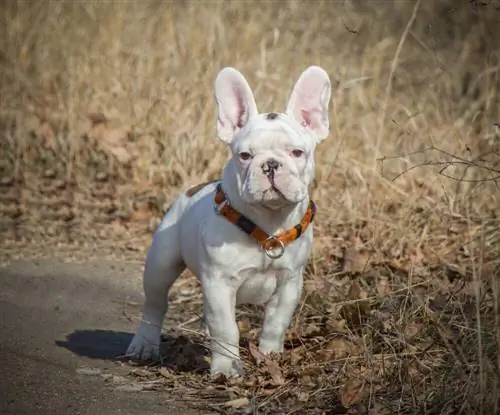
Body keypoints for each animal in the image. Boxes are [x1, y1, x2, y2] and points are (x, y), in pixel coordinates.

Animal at [126, 66, 332, 380]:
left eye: (297, 153)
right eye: (245, 156)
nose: (270, 164)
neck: (268, 224)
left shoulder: (289, 283)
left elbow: (275, 323)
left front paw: (270, 357)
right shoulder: (220, 283)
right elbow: (226, 329)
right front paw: (226, 369)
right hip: (161, 263)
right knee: (155, 304)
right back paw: (144, 345)